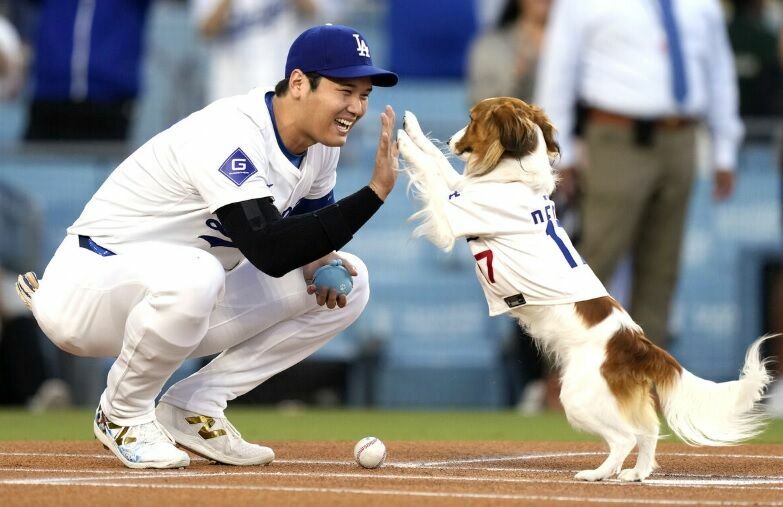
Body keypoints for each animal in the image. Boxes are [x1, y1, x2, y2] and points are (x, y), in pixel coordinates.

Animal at [398, 97, 772, 482]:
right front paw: (413, 130)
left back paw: (598, 473)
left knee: (625, 437)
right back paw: (636, 474)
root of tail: (637, 344)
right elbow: (439, 162)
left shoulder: (450, 220)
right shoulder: (460, 190)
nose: (451, 138)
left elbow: (431, 170)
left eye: (472, 120)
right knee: (648, 431)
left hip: (578, 398)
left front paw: (403, 143)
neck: (516, 178)